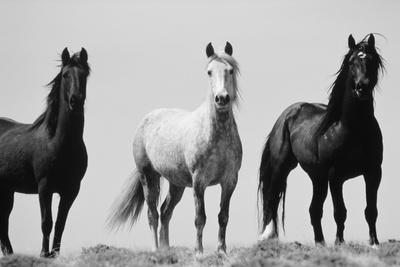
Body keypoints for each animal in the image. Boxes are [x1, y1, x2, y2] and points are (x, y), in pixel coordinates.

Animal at [0, 48, 90, 258]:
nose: (75, 101)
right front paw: (43, 254)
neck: (59, 143)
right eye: (65, 75)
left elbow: (60, 224)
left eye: (84, 75)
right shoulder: (45, 187)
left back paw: (11, 255)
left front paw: (54, 254)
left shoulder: (71, 190)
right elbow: (46, 222)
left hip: (6, 190)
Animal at [108, 43, 242, 254]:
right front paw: (199, 252)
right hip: (148, 177)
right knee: (153, 214)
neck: (216, 135)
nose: (221, 99)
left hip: (176, 184)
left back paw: (166, 249)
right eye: (209, 72)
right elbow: (200, 218)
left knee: (165, 212)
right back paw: (156, 250)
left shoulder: (230, 181)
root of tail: (146, 120)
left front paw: (221, 251)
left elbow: (223, 216)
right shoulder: (199, 182)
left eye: (230, 70)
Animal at [260, 34, 384, 248]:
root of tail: (287, 115)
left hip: (317, 178)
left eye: (372, 60)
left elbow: (371, 210)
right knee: (272, 199)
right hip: (282, 168)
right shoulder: (336, 176)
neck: (353, 129)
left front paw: (374, 242)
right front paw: (340, 242)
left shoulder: (373, 172)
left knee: (314, 210)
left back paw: (320, 243)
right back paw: (268, 236)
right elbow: (340, 212)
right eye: (351, 62)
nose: (362, 87)